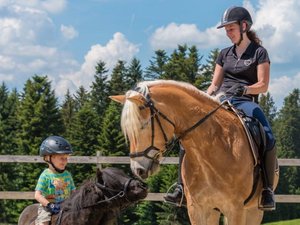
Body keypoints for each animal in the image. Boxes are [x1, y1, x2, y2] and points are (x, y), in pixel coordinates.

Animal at [111, 80, 278, 225]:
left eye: (142, 126)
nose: (137, 170)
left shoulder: (236, 209)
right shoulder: (197, 209)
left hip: (253, 211)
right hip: (214, 210)